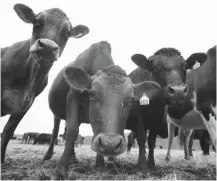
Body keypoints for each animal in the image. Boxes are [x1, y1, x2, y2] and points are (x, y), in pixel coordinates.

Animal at [43, 41, 163, 180]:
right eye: (92, 94)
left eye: (131, 99)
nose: (110, 144)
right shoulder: (73, 96)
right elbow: (72, 132)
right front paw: (60, 171)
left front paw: (100, 165)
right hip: (57, 114)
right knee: (56, 130)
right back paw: (48, 155)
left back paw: (73, 158)